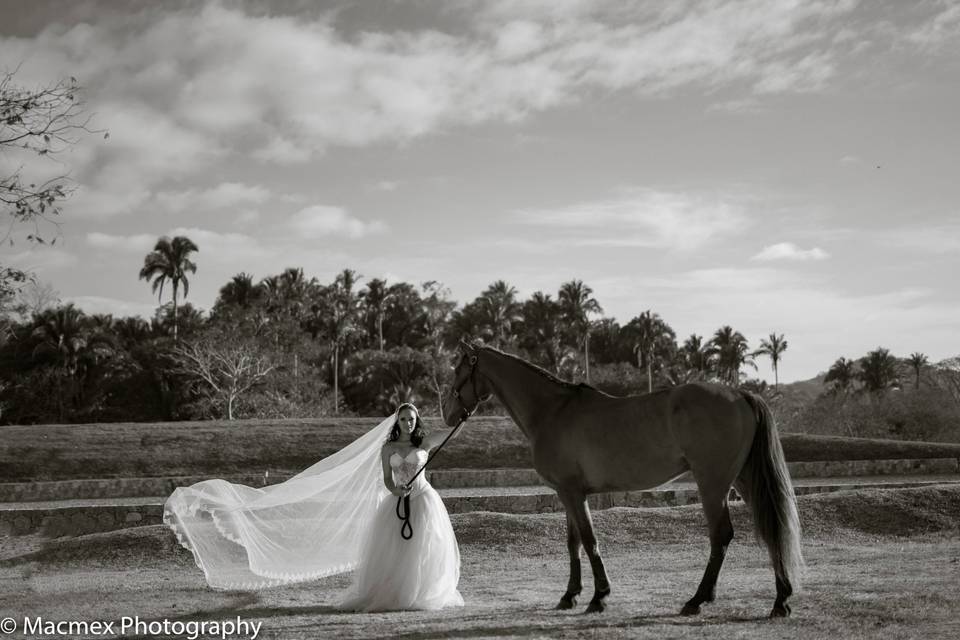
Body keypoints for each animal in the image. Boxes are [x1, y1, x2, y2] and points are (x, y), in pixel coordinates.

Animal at [442, 342, 804, 616]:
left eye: (458, 369)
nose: (447, 413)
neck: (553, 411)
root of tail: (740, 394)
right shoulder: (569, 493)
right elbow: (574, 543)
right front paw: (570, 595)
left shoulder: (571, 493)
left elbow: (589, 541)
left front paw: (599, 597)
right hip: (743, 480)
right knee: (771, 528)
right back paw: (780, 601)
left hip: (712, 484)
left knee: (722, 536)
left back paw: (697, 600)